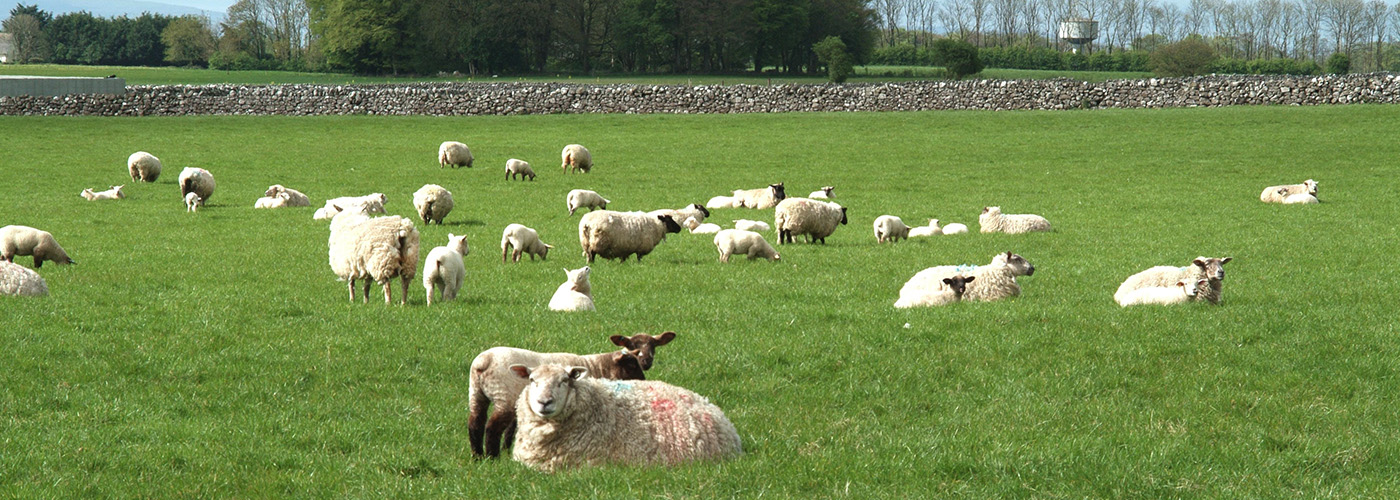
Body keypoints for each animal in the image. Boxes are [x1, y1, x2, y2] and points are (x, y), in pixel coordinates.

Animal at [468, 332, 677, 458]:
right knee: (492, 427)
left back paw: (478, 457)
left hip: (476, 393)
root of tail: (483, 362)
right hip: (505, 395)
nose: (644, 379)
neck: (599, 366)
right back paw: (492, 457)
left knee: (475, 423)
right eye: (632, 364)